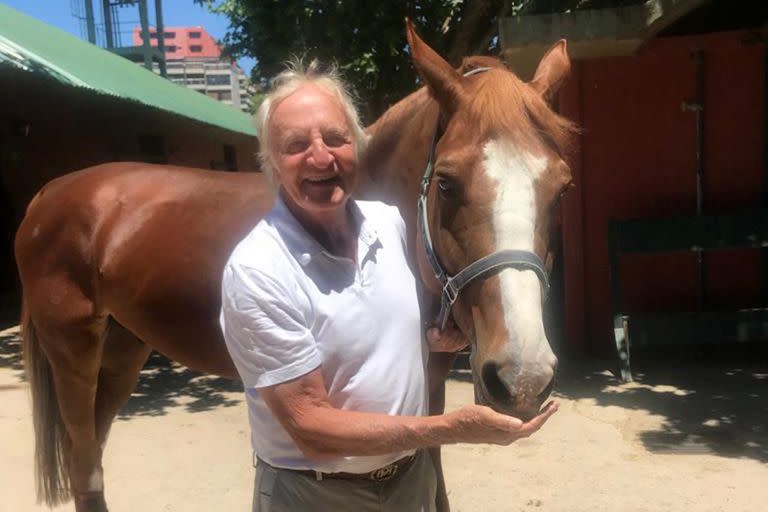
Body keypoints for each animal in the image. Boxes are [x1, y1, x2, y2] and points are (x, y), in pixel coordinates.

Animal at [15, 23, 572, 512]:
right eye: (448, 182)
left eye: (562, 187)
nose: (523, 377)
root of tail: (48, 193)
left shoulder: (429, 378)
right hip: (73, 351)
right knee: (83, 461)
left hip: (123, 349)